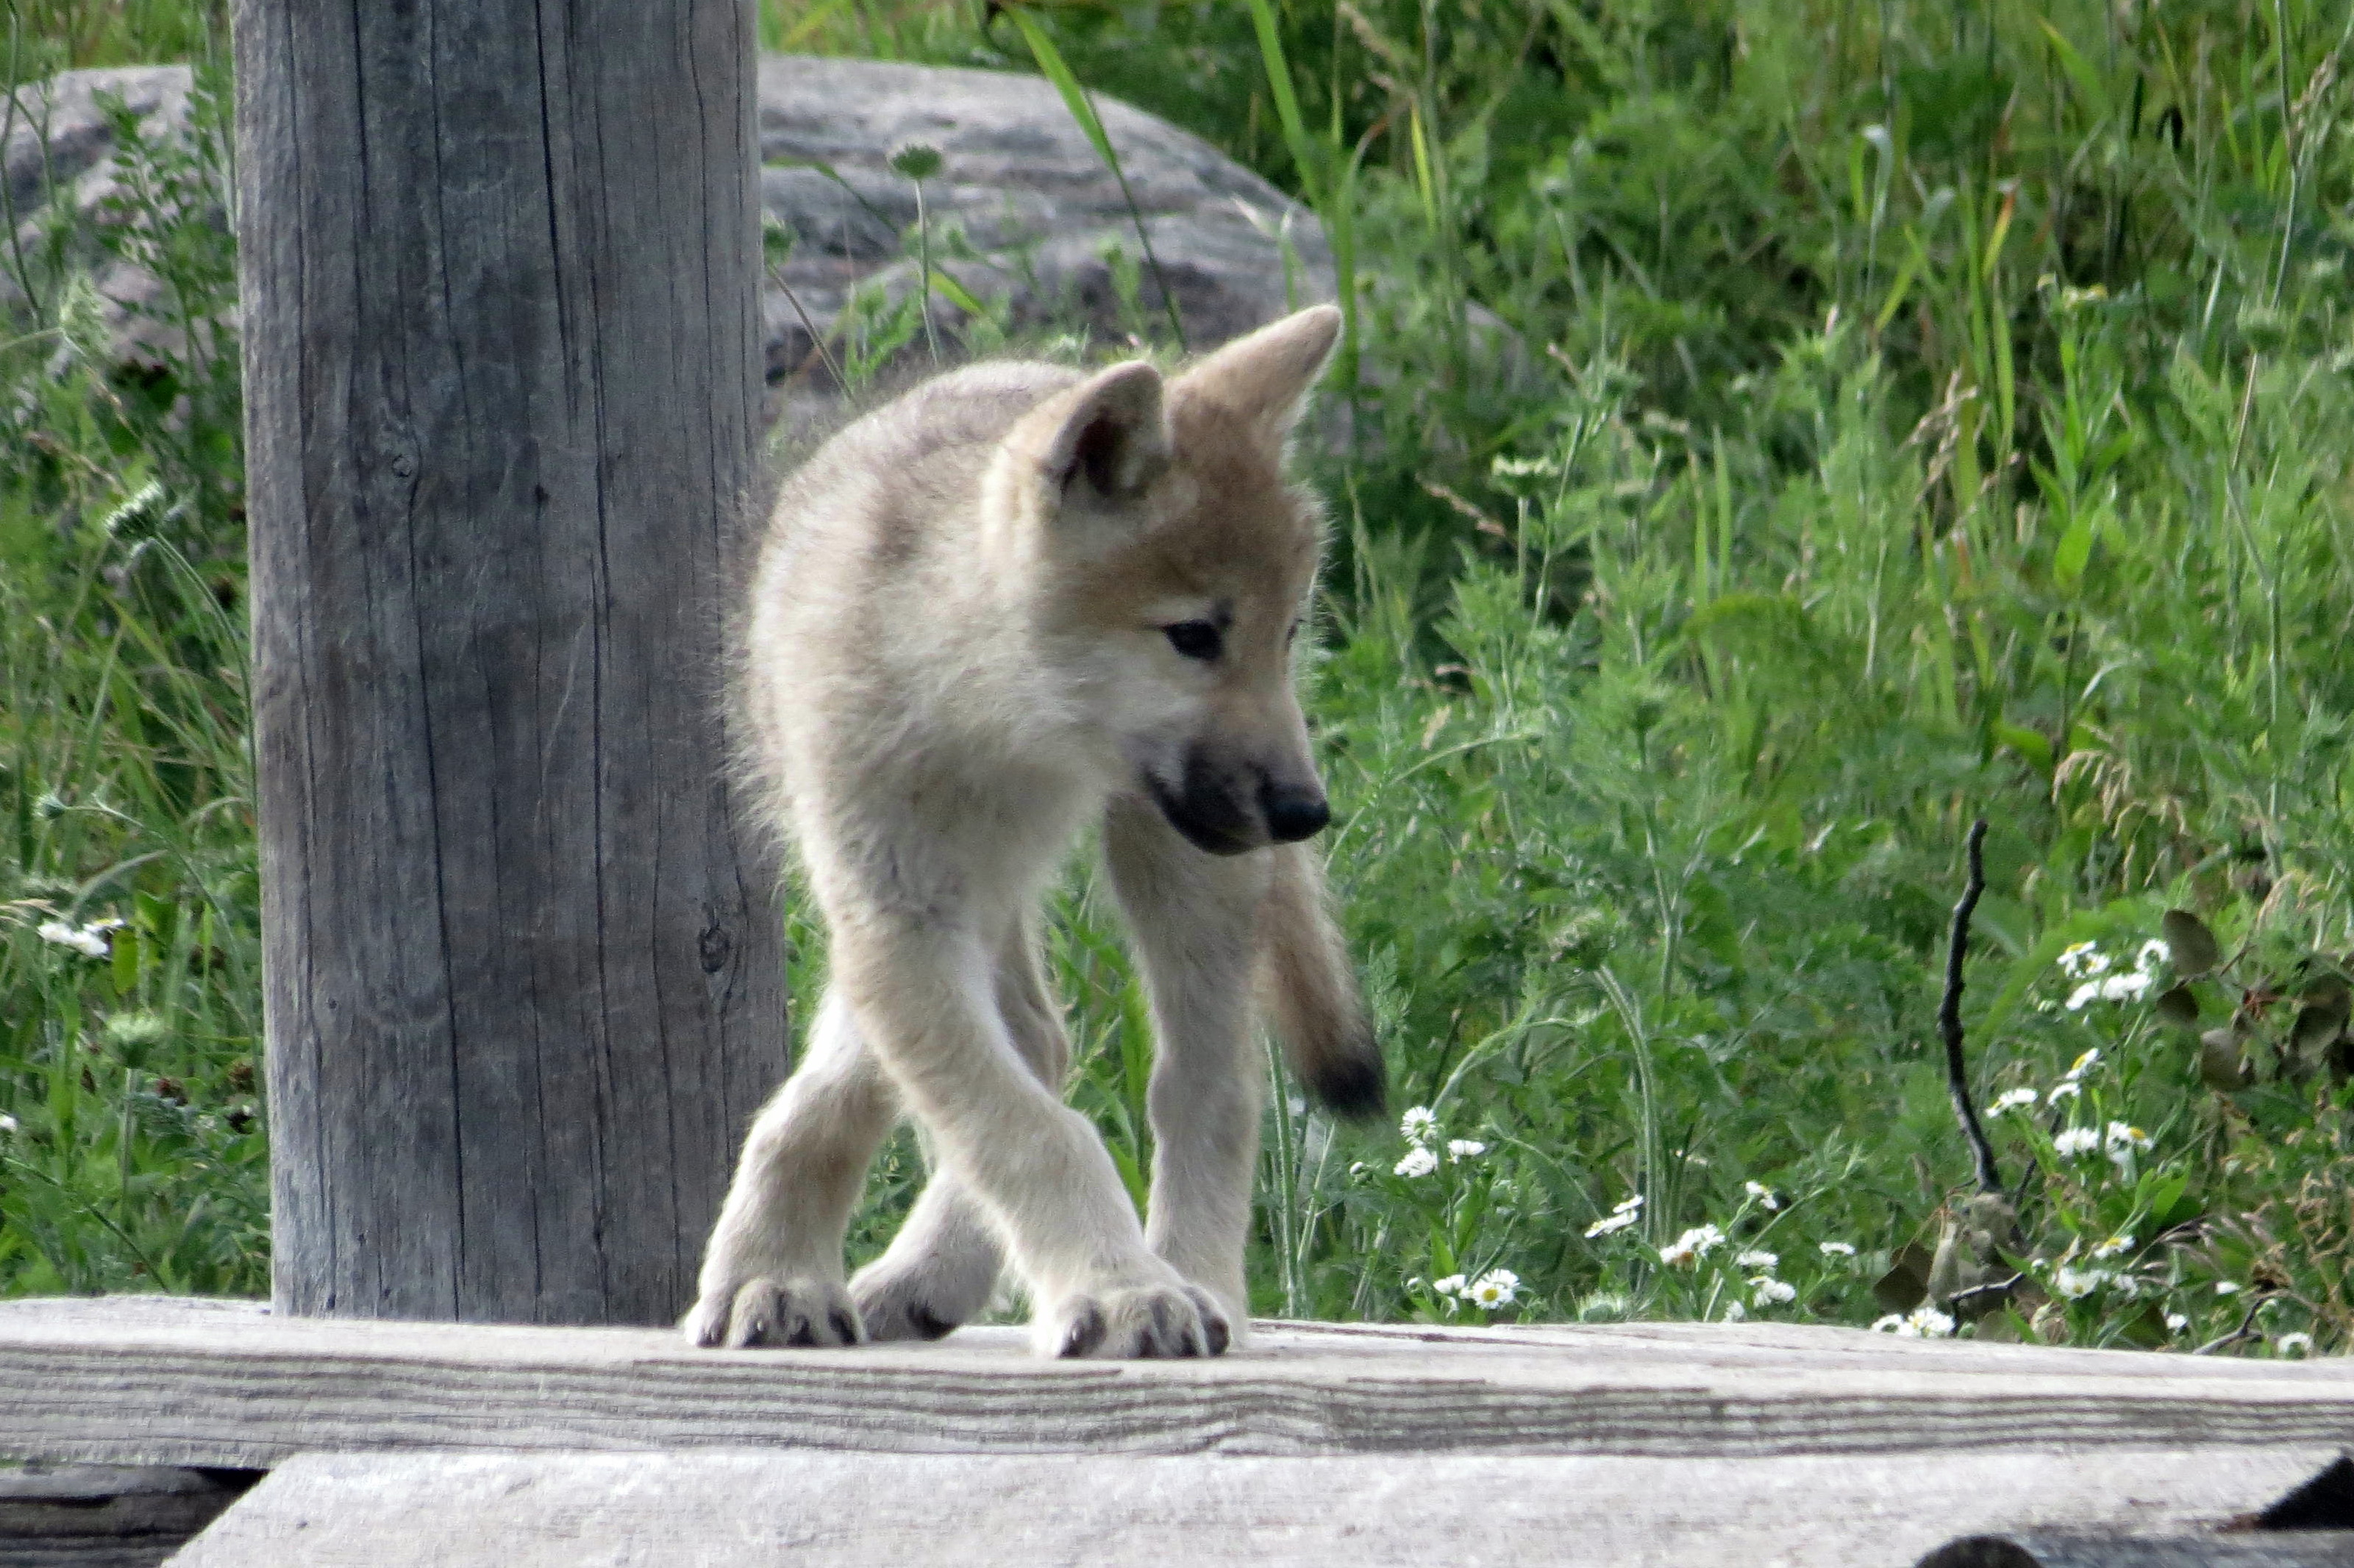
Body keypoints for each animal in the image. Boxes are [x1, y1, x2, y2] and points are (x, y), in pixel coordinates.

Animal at [685, 304, 1382, 1360]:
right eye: (1194, 635)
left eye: (1288, 632)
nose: (1307, 812)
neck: (981, 717)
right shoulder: (896, 911)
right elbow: (1000, 1120)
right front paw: (773, 1277)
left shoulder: (916, 923)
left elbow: (1020, 1116)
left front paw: (1127, 1291)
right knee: (1042, 1046)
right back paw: (929, 1276)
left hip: (1179, 872)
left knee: (1205, 1087)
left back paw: (1199, 1281)